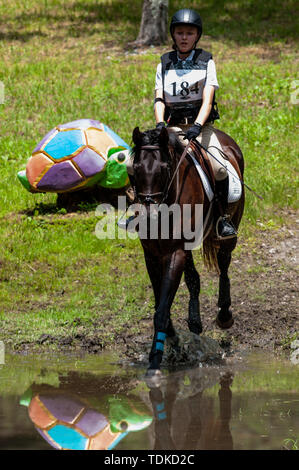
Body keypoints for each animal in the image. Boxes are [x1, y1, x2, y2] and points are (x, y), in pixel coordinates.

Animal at [131, 126, 244, 376]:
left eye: (164, 169)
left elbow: (162, 309)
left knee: (223, 264)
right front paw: (173, 344)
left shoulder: (176, 252)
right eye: (135, 169)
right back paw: (195, 324)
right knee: (194, 279)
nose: (149, 216)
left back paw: (224, 315)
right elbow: (161, 303)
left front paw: (155, 362)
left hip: (229, 229)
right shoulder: (152, 255)